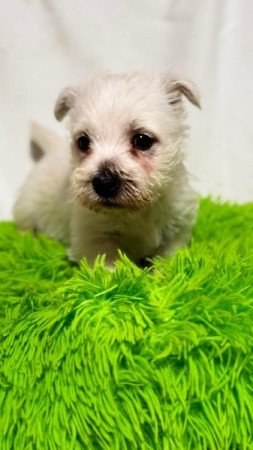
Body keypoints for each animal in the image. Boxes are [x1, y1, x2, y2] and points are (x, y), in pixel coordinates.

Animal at [13, 71, 200, 268]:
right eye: (83, 142)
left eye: (142, 140)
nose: (104, 182)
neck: (138, 210)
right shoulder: (95, 239)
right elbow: (108, 267)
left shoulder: (176, 233)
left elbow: (166, 262)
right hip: (27, 207)